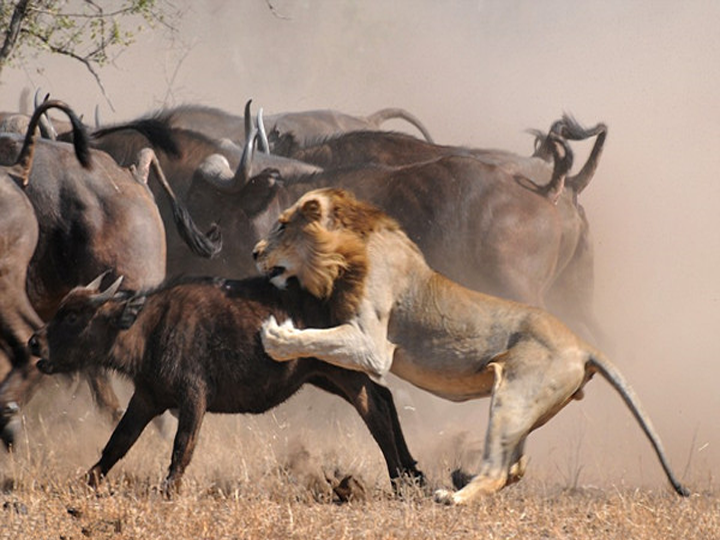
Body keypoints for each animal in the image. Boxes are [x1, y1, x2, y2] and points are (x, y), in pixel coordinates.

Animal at [29, 276, 422, 496]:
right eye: (62, 308)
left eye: (73, 316)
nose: (34, 343)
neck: (151, 329)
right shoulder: (147, 397)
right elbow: (117, 443)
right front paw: (86, 481)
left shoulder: (193, 397)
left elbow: (182, 446)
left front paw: (168, 492)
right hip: (323, 376)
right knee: (385, 397)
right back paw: (413, 473)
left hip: (341, 369)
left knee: (375, 408)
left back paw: (399, 481)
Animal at [250, 188, 688, 504]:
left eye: (282, 226)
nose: (254, 252)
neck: (348, 246)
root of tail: (582, 344)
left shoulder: (373, 345)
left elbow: (318, 338)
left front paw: (276, 338)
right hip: (530, 406)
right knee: (515, 468)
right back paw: (462, 477)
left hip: (513, 398)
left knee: (499, 471)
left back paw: (453, 496)